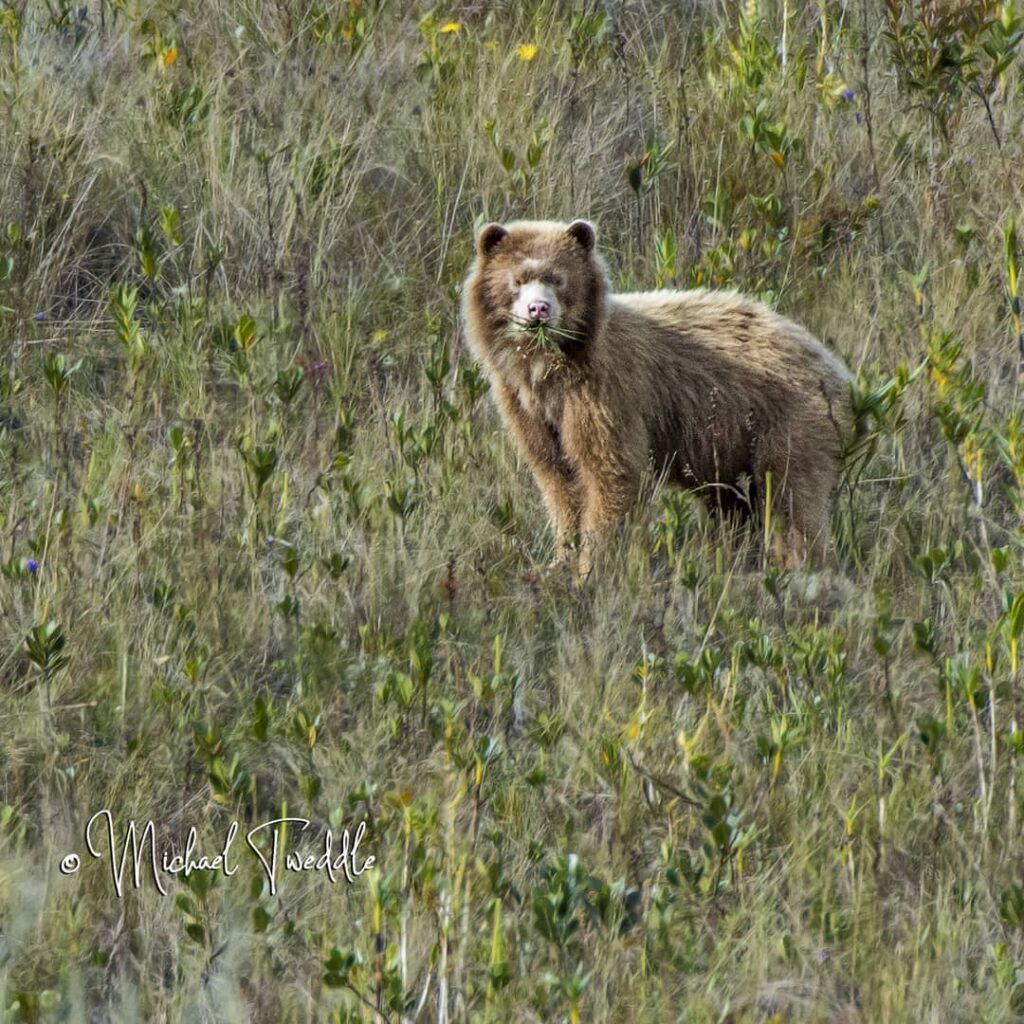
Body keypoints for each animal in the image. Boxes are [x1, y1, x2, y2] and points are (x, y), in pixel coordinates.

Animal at [460, 217, 851, 577]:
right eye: (517, 279)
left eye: (558, 278)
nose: (539, 310)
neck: (548, 368)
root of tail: (834, 365)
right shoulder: (526, 407)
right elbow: (557, 477)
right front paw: (561, 560)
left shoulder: (607, 392)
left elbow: (609, 471)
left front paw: (594, 566)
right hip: (731, 446)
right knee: (733, 507)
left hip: (785, 424)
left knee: (790, 501)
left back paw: (803, 567)